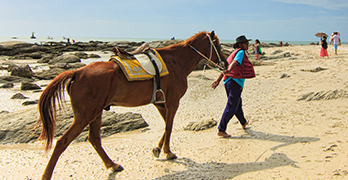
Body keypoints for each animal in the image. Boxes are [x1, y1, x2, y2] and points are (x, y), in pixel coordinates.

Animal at [35, 30, 226, 179]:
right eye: (217, 45)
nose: (224, 63)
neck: (176, 61)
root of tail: (76, 72)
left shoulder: (160, 103)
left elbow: (166, 125)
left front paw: (158, 149)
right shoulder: (172, 101)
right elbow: (169, 126)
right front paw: (167, 151)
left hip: (96, 113)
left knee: (94, 139)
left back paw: (112, 165)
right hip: (85, 116)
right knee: (62, 142)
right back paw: (46, 175)